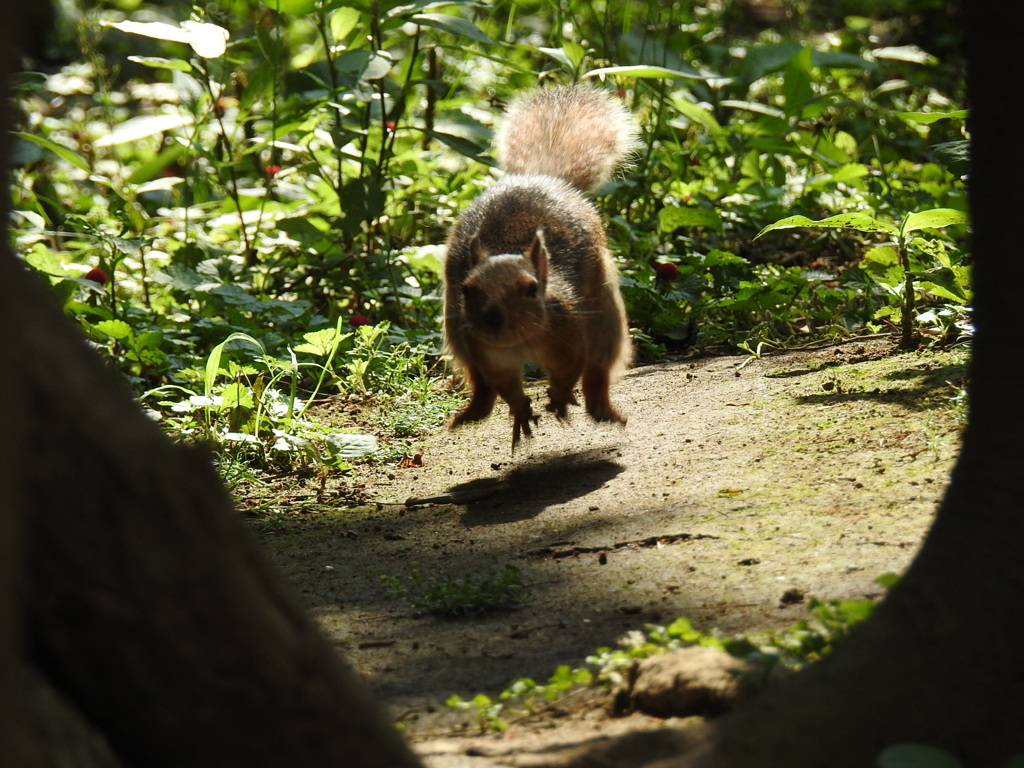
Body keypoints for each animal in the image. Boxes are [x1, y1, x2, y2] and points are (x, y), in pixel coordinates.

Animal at [442, 84, 634, 448]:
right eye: (467, 289)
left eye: (532, 289)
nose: (493, 318)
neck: (519, 343)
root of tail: (543, 177)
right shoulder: (491, 358)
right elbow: (506, 388)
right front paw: (521, 412)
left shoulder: (568, 339)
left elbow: (568, 373)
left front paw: (557, 400)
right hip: (458, 334)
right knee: (481, 386)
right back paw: (470, 413)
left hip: (604, 318)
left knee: (597, 372)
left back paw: (603, 410)